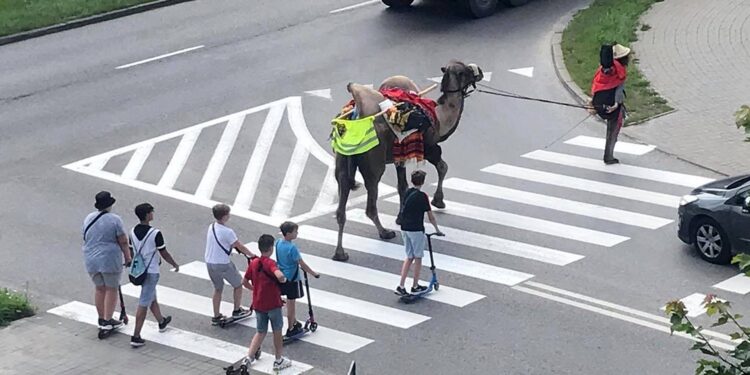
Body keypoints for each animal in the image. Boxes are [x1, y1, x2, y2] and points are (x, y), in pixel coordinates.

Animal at [332, 61, 484, 262]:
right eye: (465, 71)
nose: (479, 71)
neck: (439, 118)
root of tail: (355, 117)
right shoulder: (429, 147)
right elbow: (442, 167)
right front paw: (438, 201)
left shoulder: (400, 154)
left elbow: (402, 185)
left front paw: (400, 217)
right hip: (374, 161)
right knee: (371, 198)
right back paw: (385, 233)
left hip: (342, 161)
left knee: (341, 201)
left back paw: (340, 253)